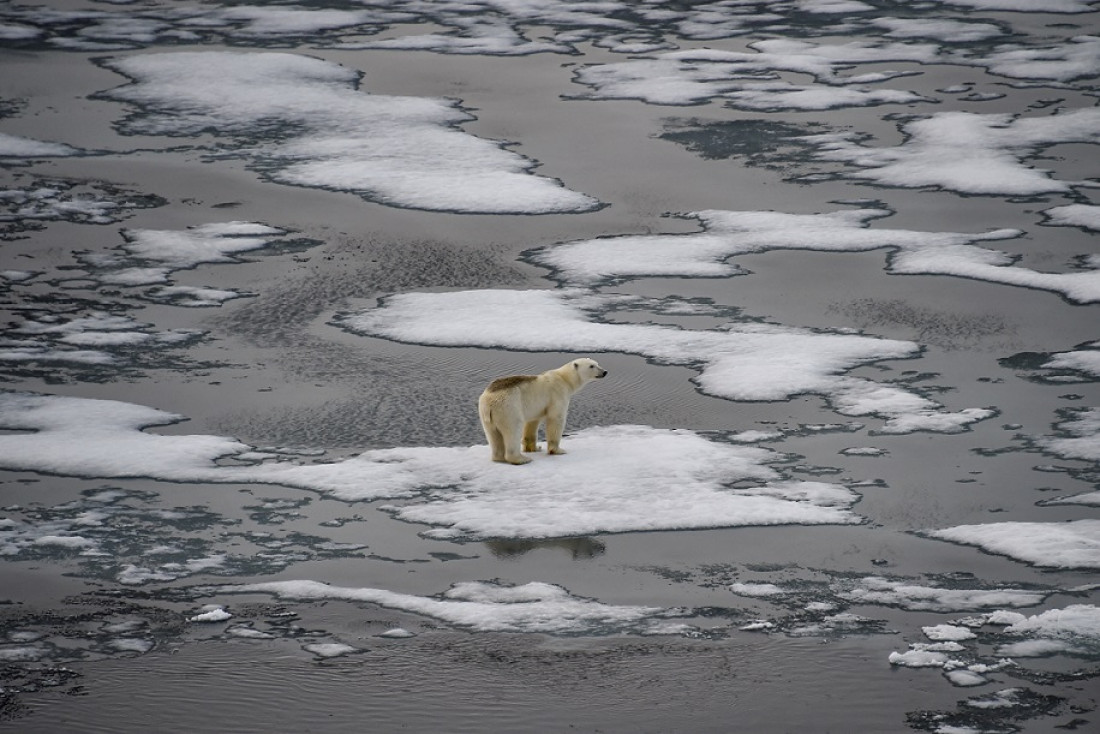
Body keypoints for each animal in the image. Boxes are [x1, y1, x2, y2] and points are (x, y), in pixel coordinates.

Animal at [475, 356, 607, 464]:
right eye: (591, 366)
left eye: (597, 363)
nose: (605, 371)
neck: (564, 379)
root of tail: (488, 401)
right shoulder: (557, 394)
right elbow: (556, 419)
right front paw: (558, 450)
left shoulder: (536, 407)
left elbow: (532, 423)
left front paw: (535, 448)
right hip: (508, 408)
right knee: (514, 429)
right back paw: (521, 459)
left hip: (486, 415)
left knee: (493, 434)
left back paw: (498, 457)